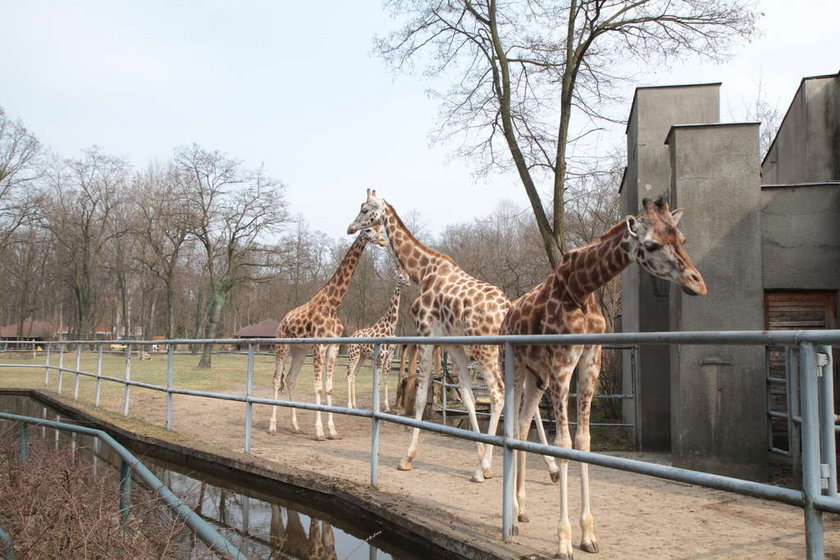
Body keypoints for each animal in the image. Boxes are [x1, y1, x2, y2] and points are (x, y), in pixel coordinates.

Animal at [268, 225, 388, 440]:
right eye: (368, 229)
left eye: (380, 228)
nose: (383, 241)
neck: (333, 304)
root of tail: (282, 321)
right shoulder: (319, 345)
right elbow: (317, 386)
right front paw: (319, 432)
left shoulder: (333, 346)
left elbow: (329, 387)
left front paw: (332, 431)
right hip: (282, 346)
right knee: (276, 379)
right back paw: (272, 427)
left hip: (299, 350)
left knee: (290, 379)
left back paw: (295, 426)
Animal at [346, 266, 412, 412]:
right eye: (400, 277)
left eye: (408, 276)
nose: (409, 284)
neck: (390, 326)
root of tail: (351, 335)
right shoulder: (381, 354)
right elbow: (378, 380)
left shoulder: (390, 355)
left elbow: (386, 379)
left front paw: (386, 407)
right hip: (353, 354)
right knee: (348, 375)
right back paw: (349, 405)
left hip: (362, 356)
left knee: (354, 375)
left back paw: (354, 404)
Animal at [506, 195, 708, 556]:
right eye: (652, 244)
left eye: (682, 239)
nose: (697, 283)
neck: (582, 289)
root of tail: (508, 315)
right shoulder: (562, 363)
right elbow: (564, 442)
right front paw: (564, 541)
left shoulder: (591, 359)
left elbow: (583, 441)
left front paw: (588, 535)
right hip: (516, 367)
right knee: (514, 424)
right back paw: (513, 515)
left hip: (536, 376)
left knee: (523, 424)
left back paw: (521, 508)